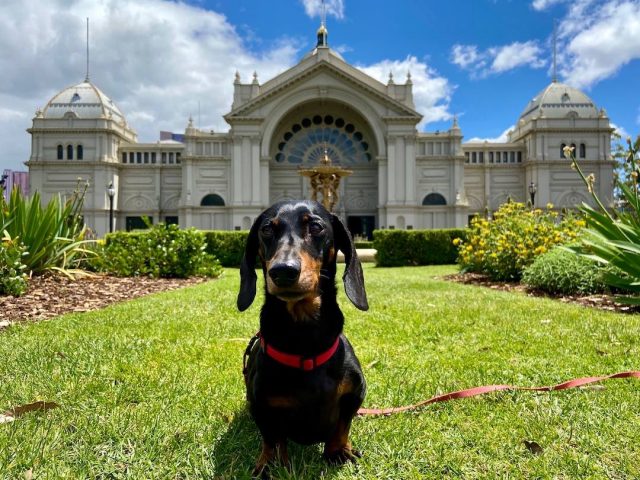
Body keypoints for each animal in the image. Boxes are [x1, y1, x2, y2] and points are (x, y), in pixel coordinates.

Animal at [236, 199, 368, 476]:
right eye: (267, 229)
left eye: (316, 226)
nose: (283, 271)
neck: (305, 341)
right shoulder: (261, 405)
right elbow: (272, 438)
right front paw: (270, 464)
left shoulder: (356, 392)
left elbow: (342, 427)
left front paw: (338, 452)